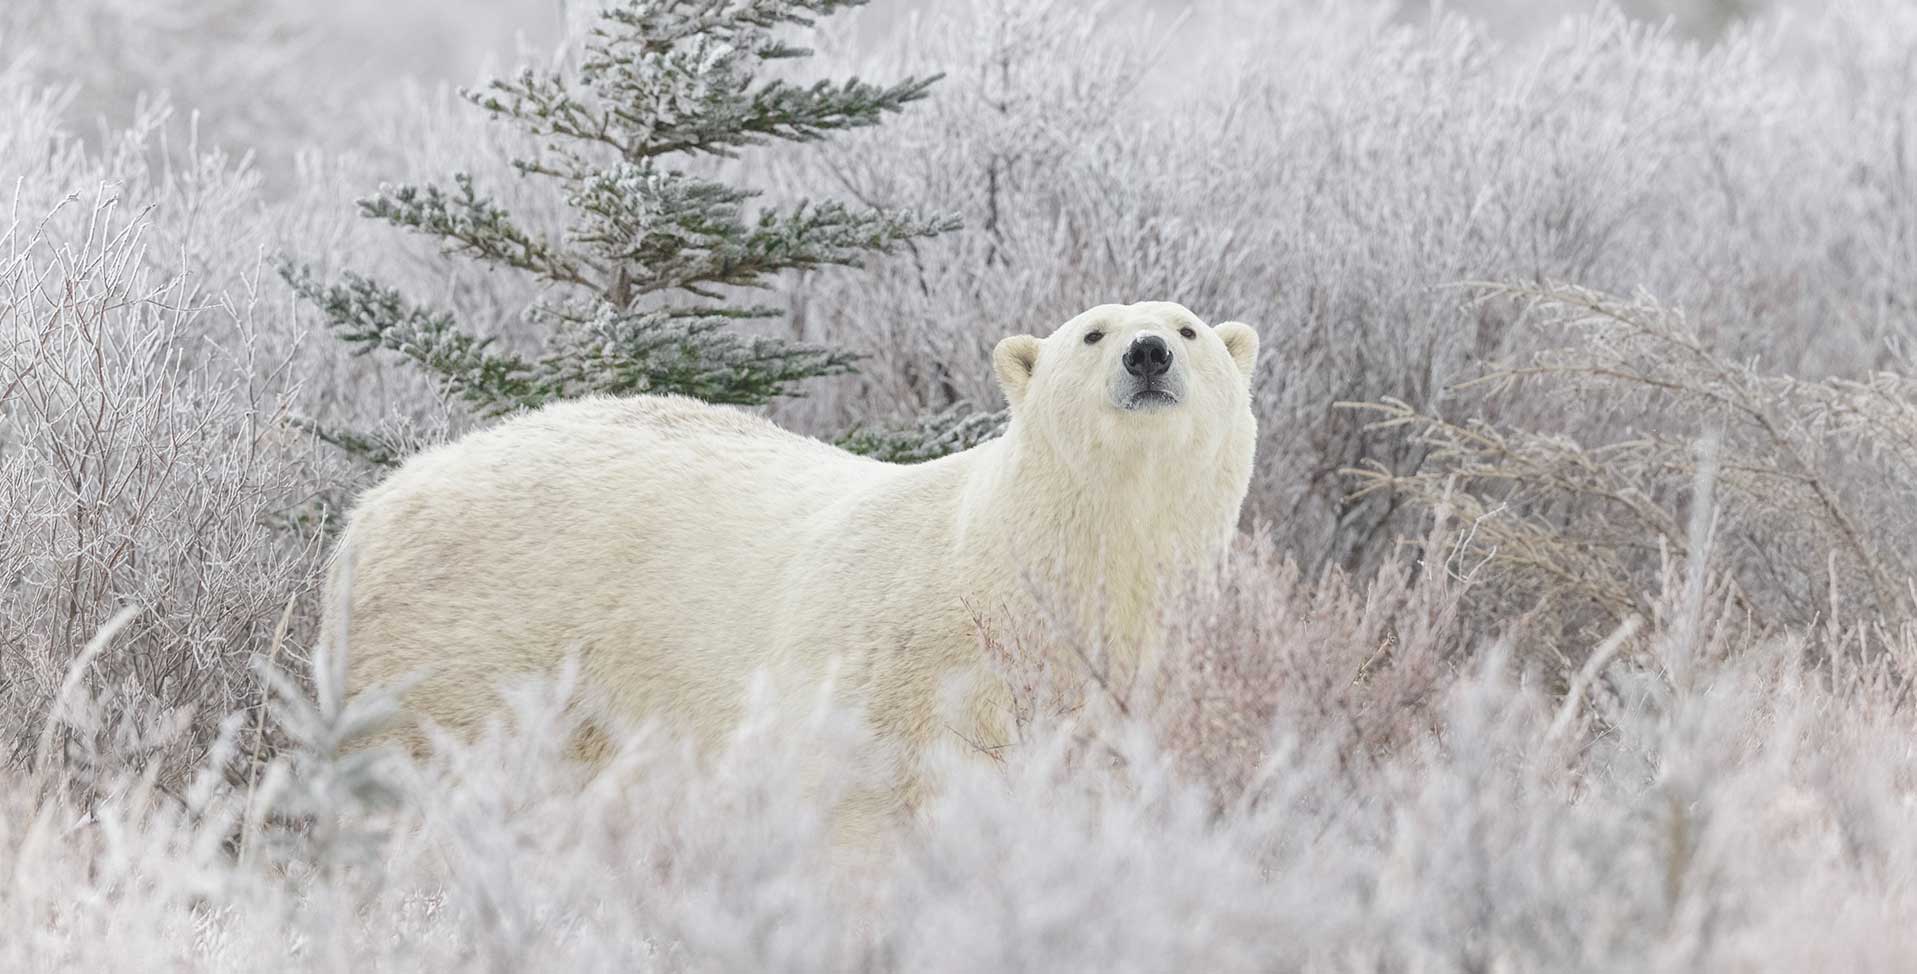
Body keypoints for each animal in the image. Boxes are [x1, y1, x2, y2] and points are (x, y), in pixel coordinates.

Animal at [325, 301, 1259, 838]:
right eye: (1091, 333)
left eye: (1188, 329)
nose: (1147, 354)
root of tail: (371, 506)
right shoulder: (897, 678)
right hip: (470, 640)